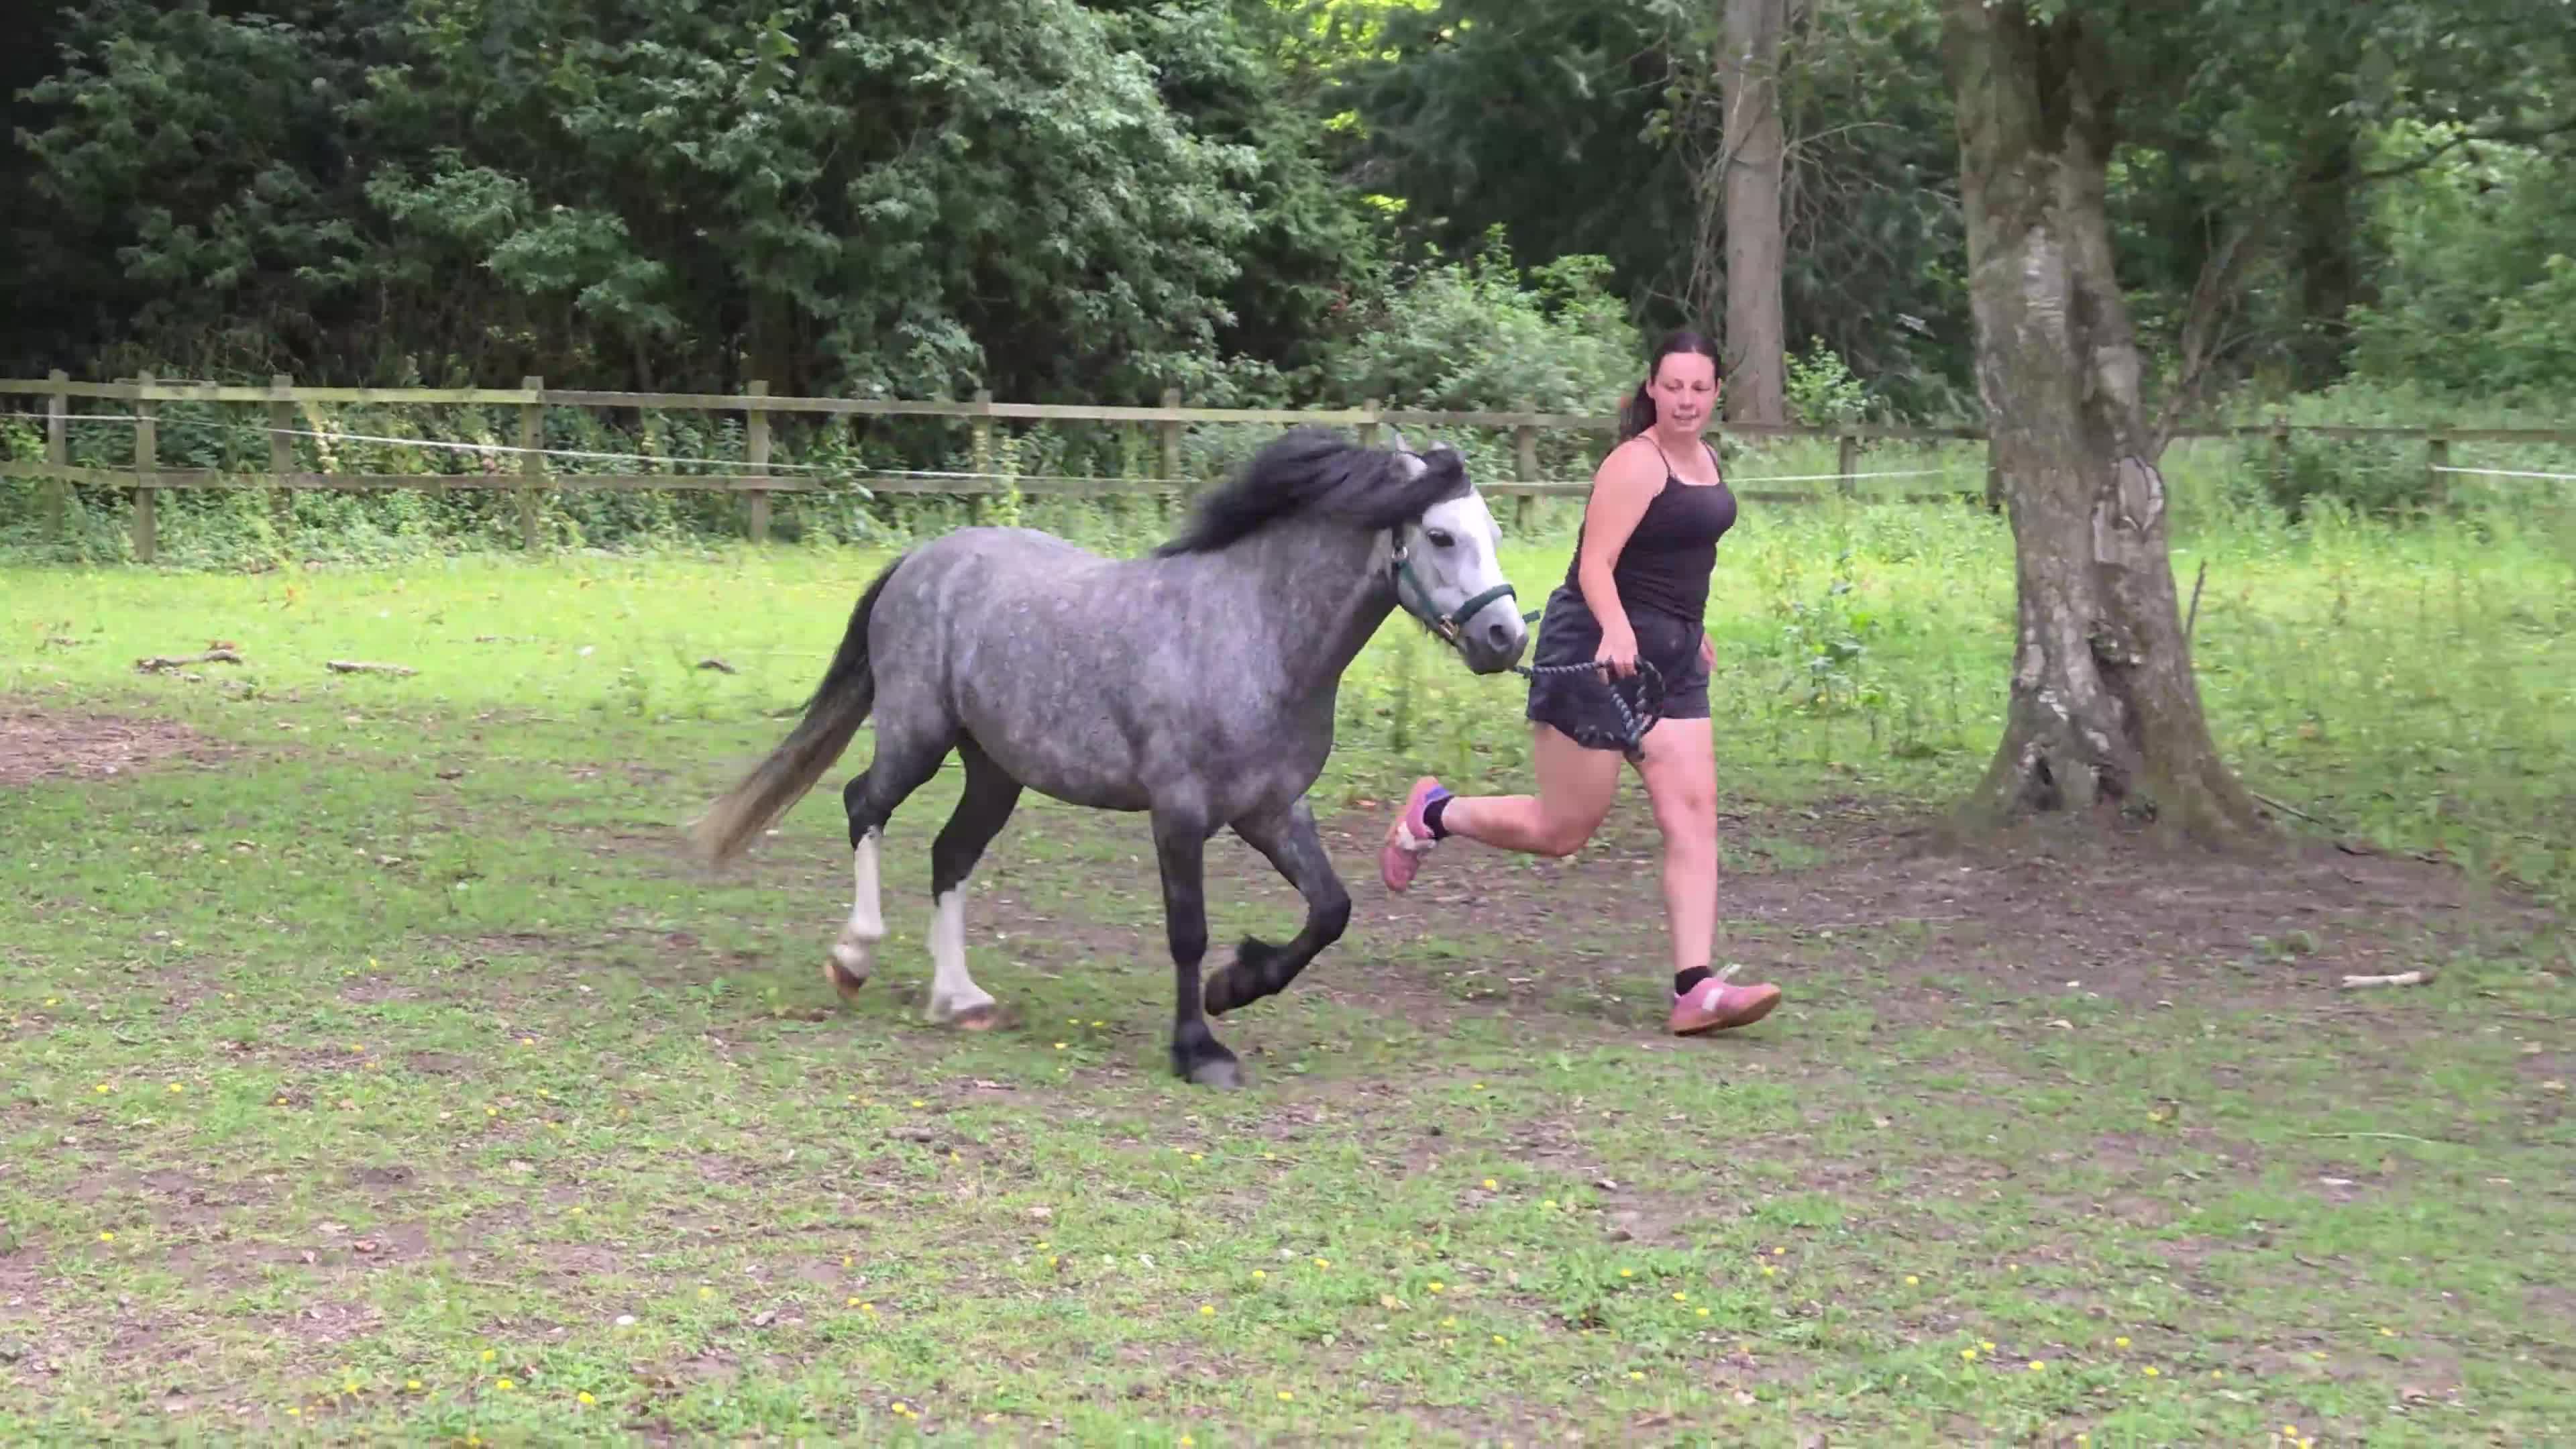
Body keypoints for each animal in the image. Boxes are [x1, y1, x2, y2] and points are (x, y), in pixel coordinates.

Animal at [686, 426, 1529, 1088]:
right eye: (1441, 536)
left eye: (1491, 532)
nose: (1507, 640)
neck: (1251, 630)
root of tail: (921, 559)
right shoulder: (1180, 814)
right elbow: (1187, 931)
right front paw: (1199, 1049)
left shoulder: (1272, 810)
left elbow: (1330, 911)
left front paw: (1235, 985)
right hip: (917, 735)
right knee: (864, 804)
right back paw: (854, 956)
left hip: (996, 770)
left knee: (949, 853)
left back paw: (961, 999)